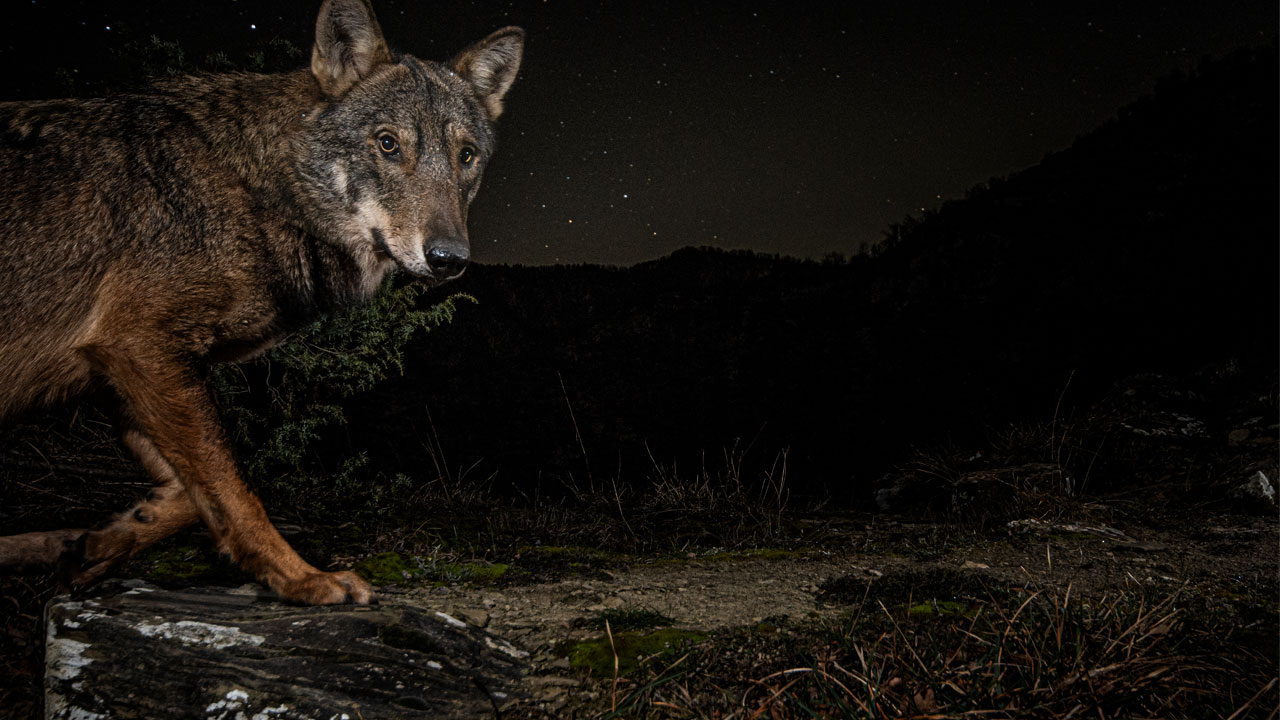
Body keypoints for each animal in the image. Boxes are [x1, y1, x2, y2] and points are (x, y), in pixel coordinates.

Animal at [0, 0, 522, 604]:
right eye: (388, 143)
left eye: (466, 156)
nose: (448, 259)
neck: (254, 189)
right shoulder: (138, 346)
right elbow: (236, 491)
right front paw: (304, 580)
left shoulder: (119, 371)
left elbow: (192, 495)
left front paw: (95, 545)